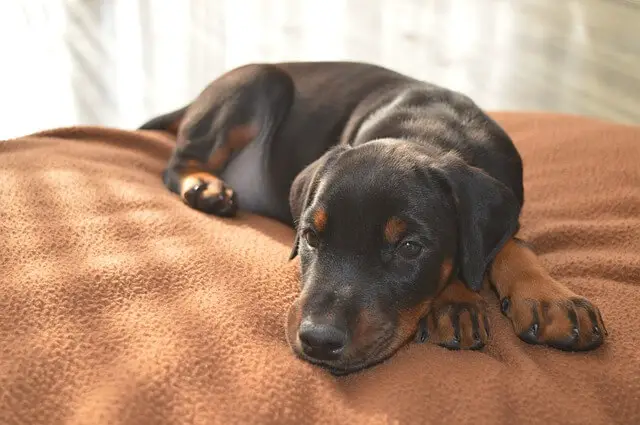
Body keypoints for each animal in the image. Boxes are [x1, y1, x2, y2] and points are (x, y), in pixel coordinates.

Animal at [139, 60, 604, 374]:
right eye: (310, 237)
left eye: (410, 248)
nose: (318, 341)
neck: (429, 132)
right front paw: (456, 301)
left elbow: (508, 243)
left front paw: (550, 298)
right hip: (258, 83)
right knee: (177, 163)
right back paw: (206, 187)